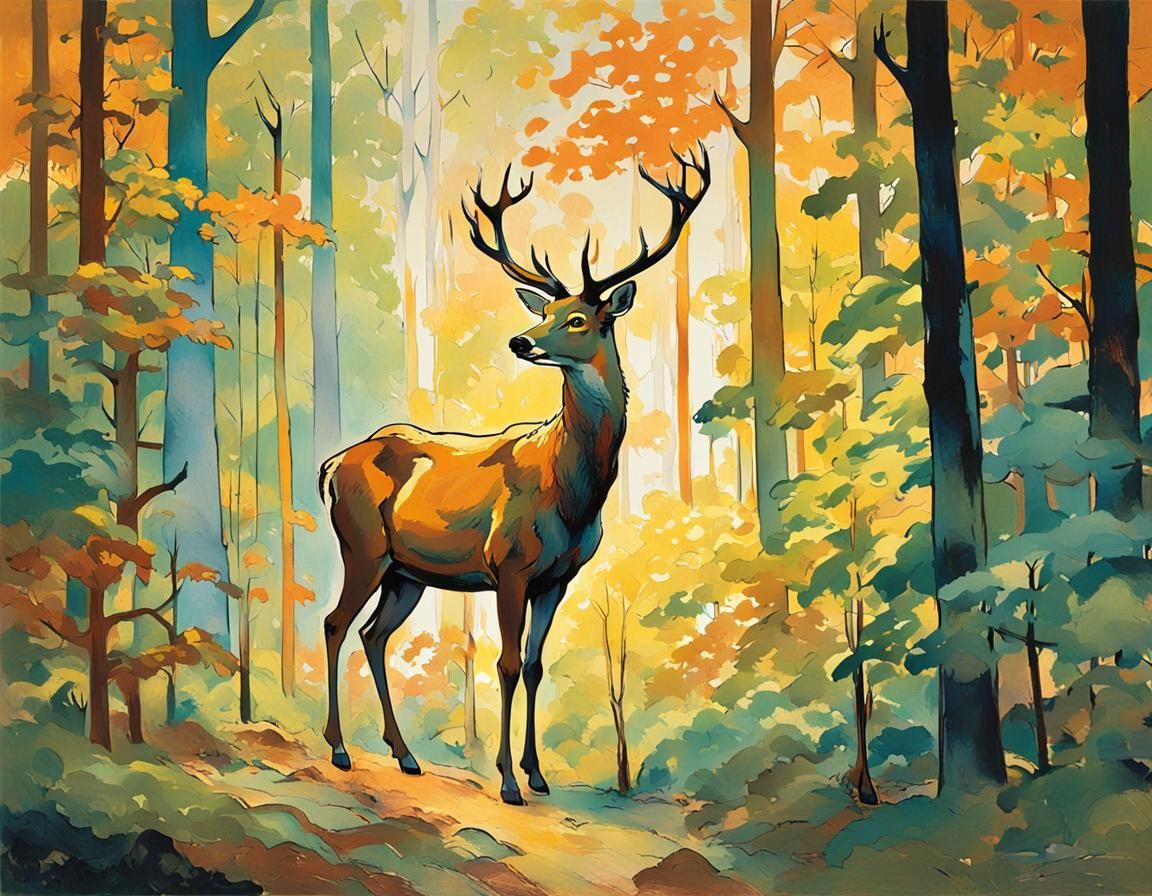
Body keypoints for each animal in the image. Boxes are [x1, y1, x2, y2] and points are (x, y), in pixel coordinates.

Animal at [319, 145, 710, 805]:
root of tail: (330, 463)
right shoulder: (509, 564)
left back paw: (405, 755)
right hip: (362, 545)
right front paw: (506, 780)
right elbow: (502, 663)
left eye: (579, 318)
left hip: (407, 572)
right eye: (546, 309)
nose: (521, 340)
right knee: (335, 623)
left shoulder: (558, 577)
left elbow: (532, 665)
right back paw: (341, 749)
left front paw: (536, 772)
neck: (573, 495)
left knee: (373, 634)